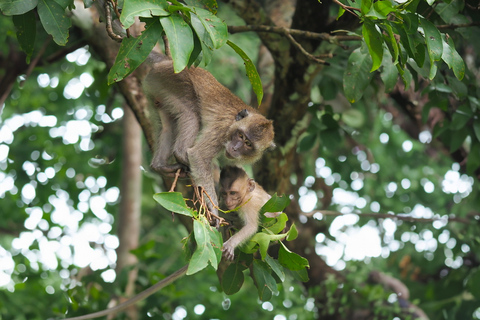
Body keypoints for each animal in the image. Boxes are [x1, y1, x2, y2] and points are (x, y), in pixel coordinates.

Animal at [142, 52, 274, 220]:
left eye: (248, 144)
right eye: (240, 135)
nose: (235, 148)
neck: (235, 122)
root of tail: (168, 62)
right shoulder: (221, 131)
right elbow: (198, 155)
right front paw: (213, 209)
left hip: (158, 88)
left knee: (167, 126)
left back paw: (160, 165)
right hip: (172, 79)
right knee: (191, 113)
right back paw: (181, 154)